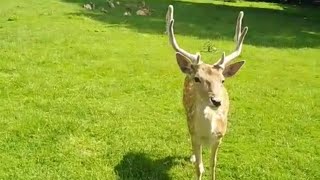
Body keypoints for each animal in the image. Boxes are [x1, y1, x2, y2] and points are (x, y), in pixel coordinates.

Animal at [166, 4, 249, 179]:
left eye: (222, 81)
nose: (216, 101)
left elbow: (213, 165)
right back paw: (192, 156)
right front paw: (196, 162)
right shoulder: (195, 135)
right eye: (197, 78)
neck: (207, 132)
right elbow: (199, 167)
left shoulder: (219, 137)